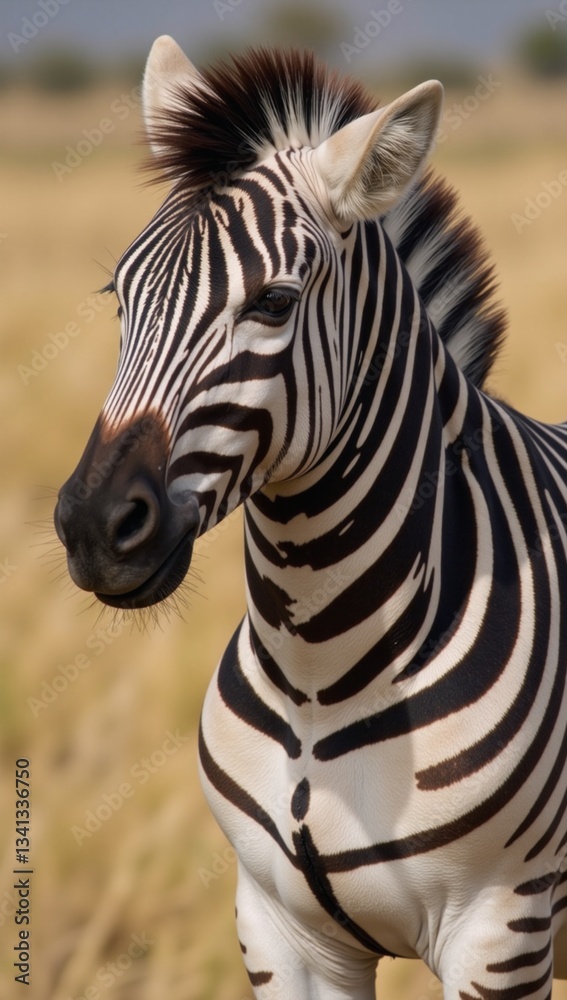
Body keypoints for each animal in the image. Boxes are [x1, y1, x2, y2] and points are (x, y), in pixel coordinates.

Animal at [54, 35, 567, 999]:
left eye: (273, 303)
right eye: (119, 296)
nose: (95, 529)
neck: (321, 668)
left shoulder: (502, 927)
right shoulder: (280, 932)